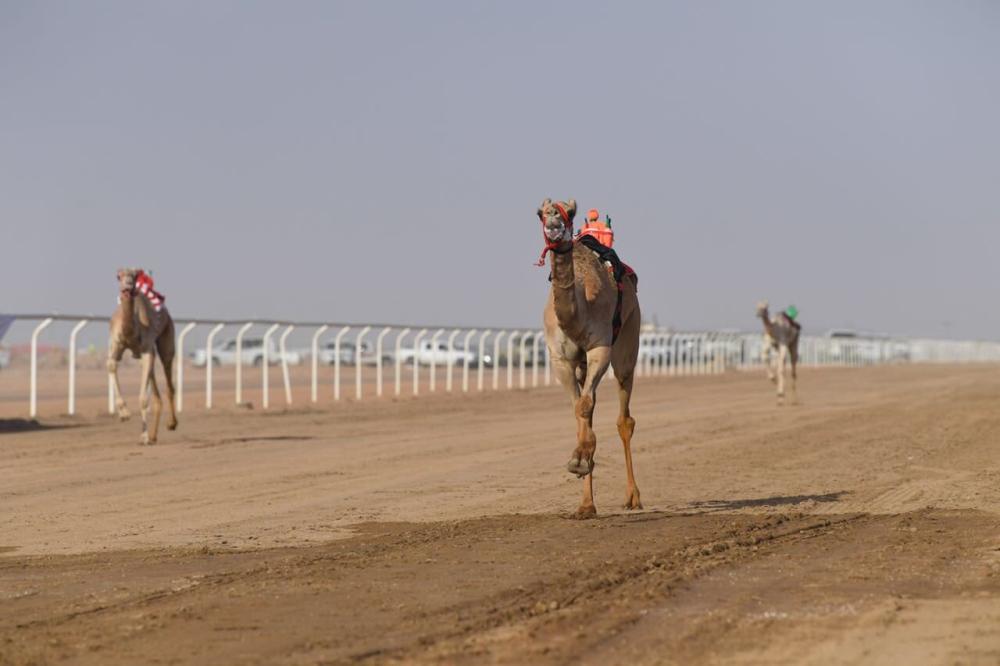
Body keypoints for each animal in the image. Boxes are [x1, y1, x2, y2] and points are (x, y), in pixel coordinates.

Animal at [110, 268, 180, 444]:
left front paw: (144, 436)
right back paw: (155, 435)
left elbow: (143, 399)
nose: (127, 286)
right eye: (118, 276)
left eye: (134, 276)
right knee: (155, 389)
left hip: (167, 334)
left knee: (168, 375)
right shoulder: (116, 345)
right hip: (143, 355)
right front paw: (124, 413)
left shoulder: (147, 349)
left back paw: (171, 424)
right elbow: (111, 364)